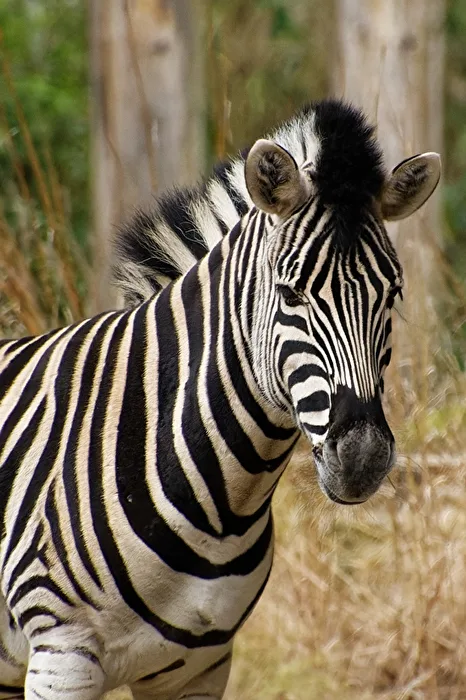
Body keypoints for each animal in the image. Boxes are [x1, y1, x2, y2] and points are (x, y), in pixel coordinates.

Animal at [0, 100, 440, 700]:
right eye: (290, 292)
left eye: (392, 295)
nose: (362, 458)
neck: (222, 507)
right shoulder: (61, 656)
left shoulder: (200, 666)